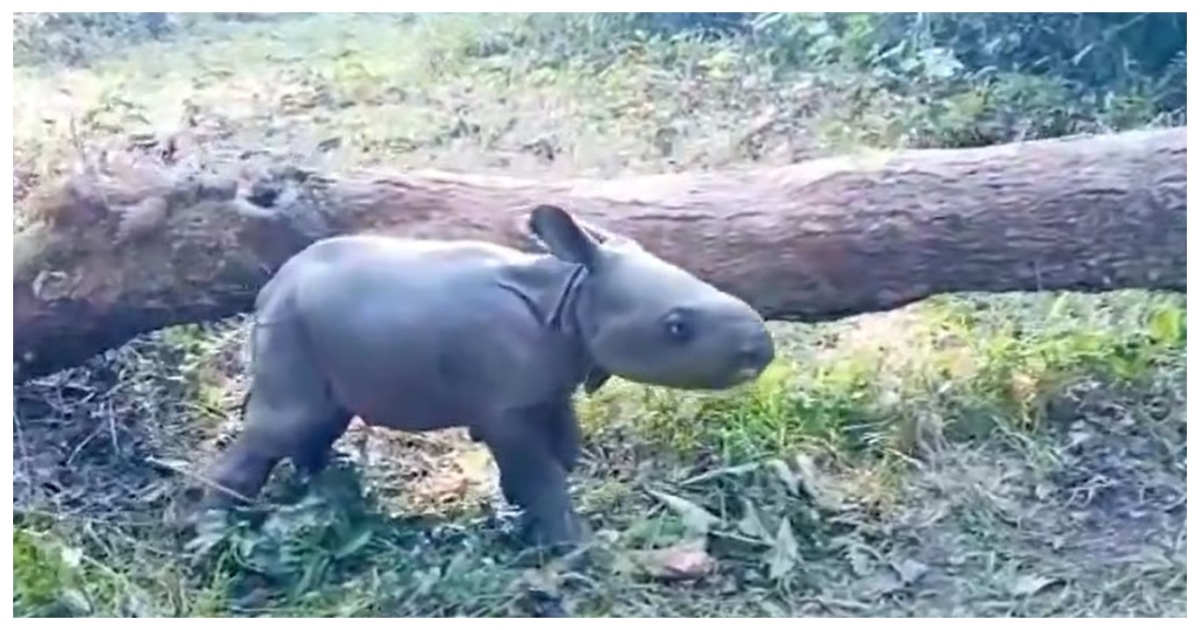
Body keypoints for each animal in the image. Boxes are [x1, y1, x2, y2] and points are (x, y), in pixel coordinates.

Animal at [201, 204, 775, 548]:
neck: (572, 297)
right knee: (287, 421)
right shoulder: (506, 408)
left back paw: (324, 488)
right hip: (290, 325)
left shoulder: (546, 388)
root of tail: (271, 287)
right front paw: (574, 548)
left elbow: (559, 452)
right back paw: (212, 530)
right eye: (677, 328)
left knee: (322, 418)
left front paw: (528, 517)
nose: (762, 351)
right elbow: (541, 474)